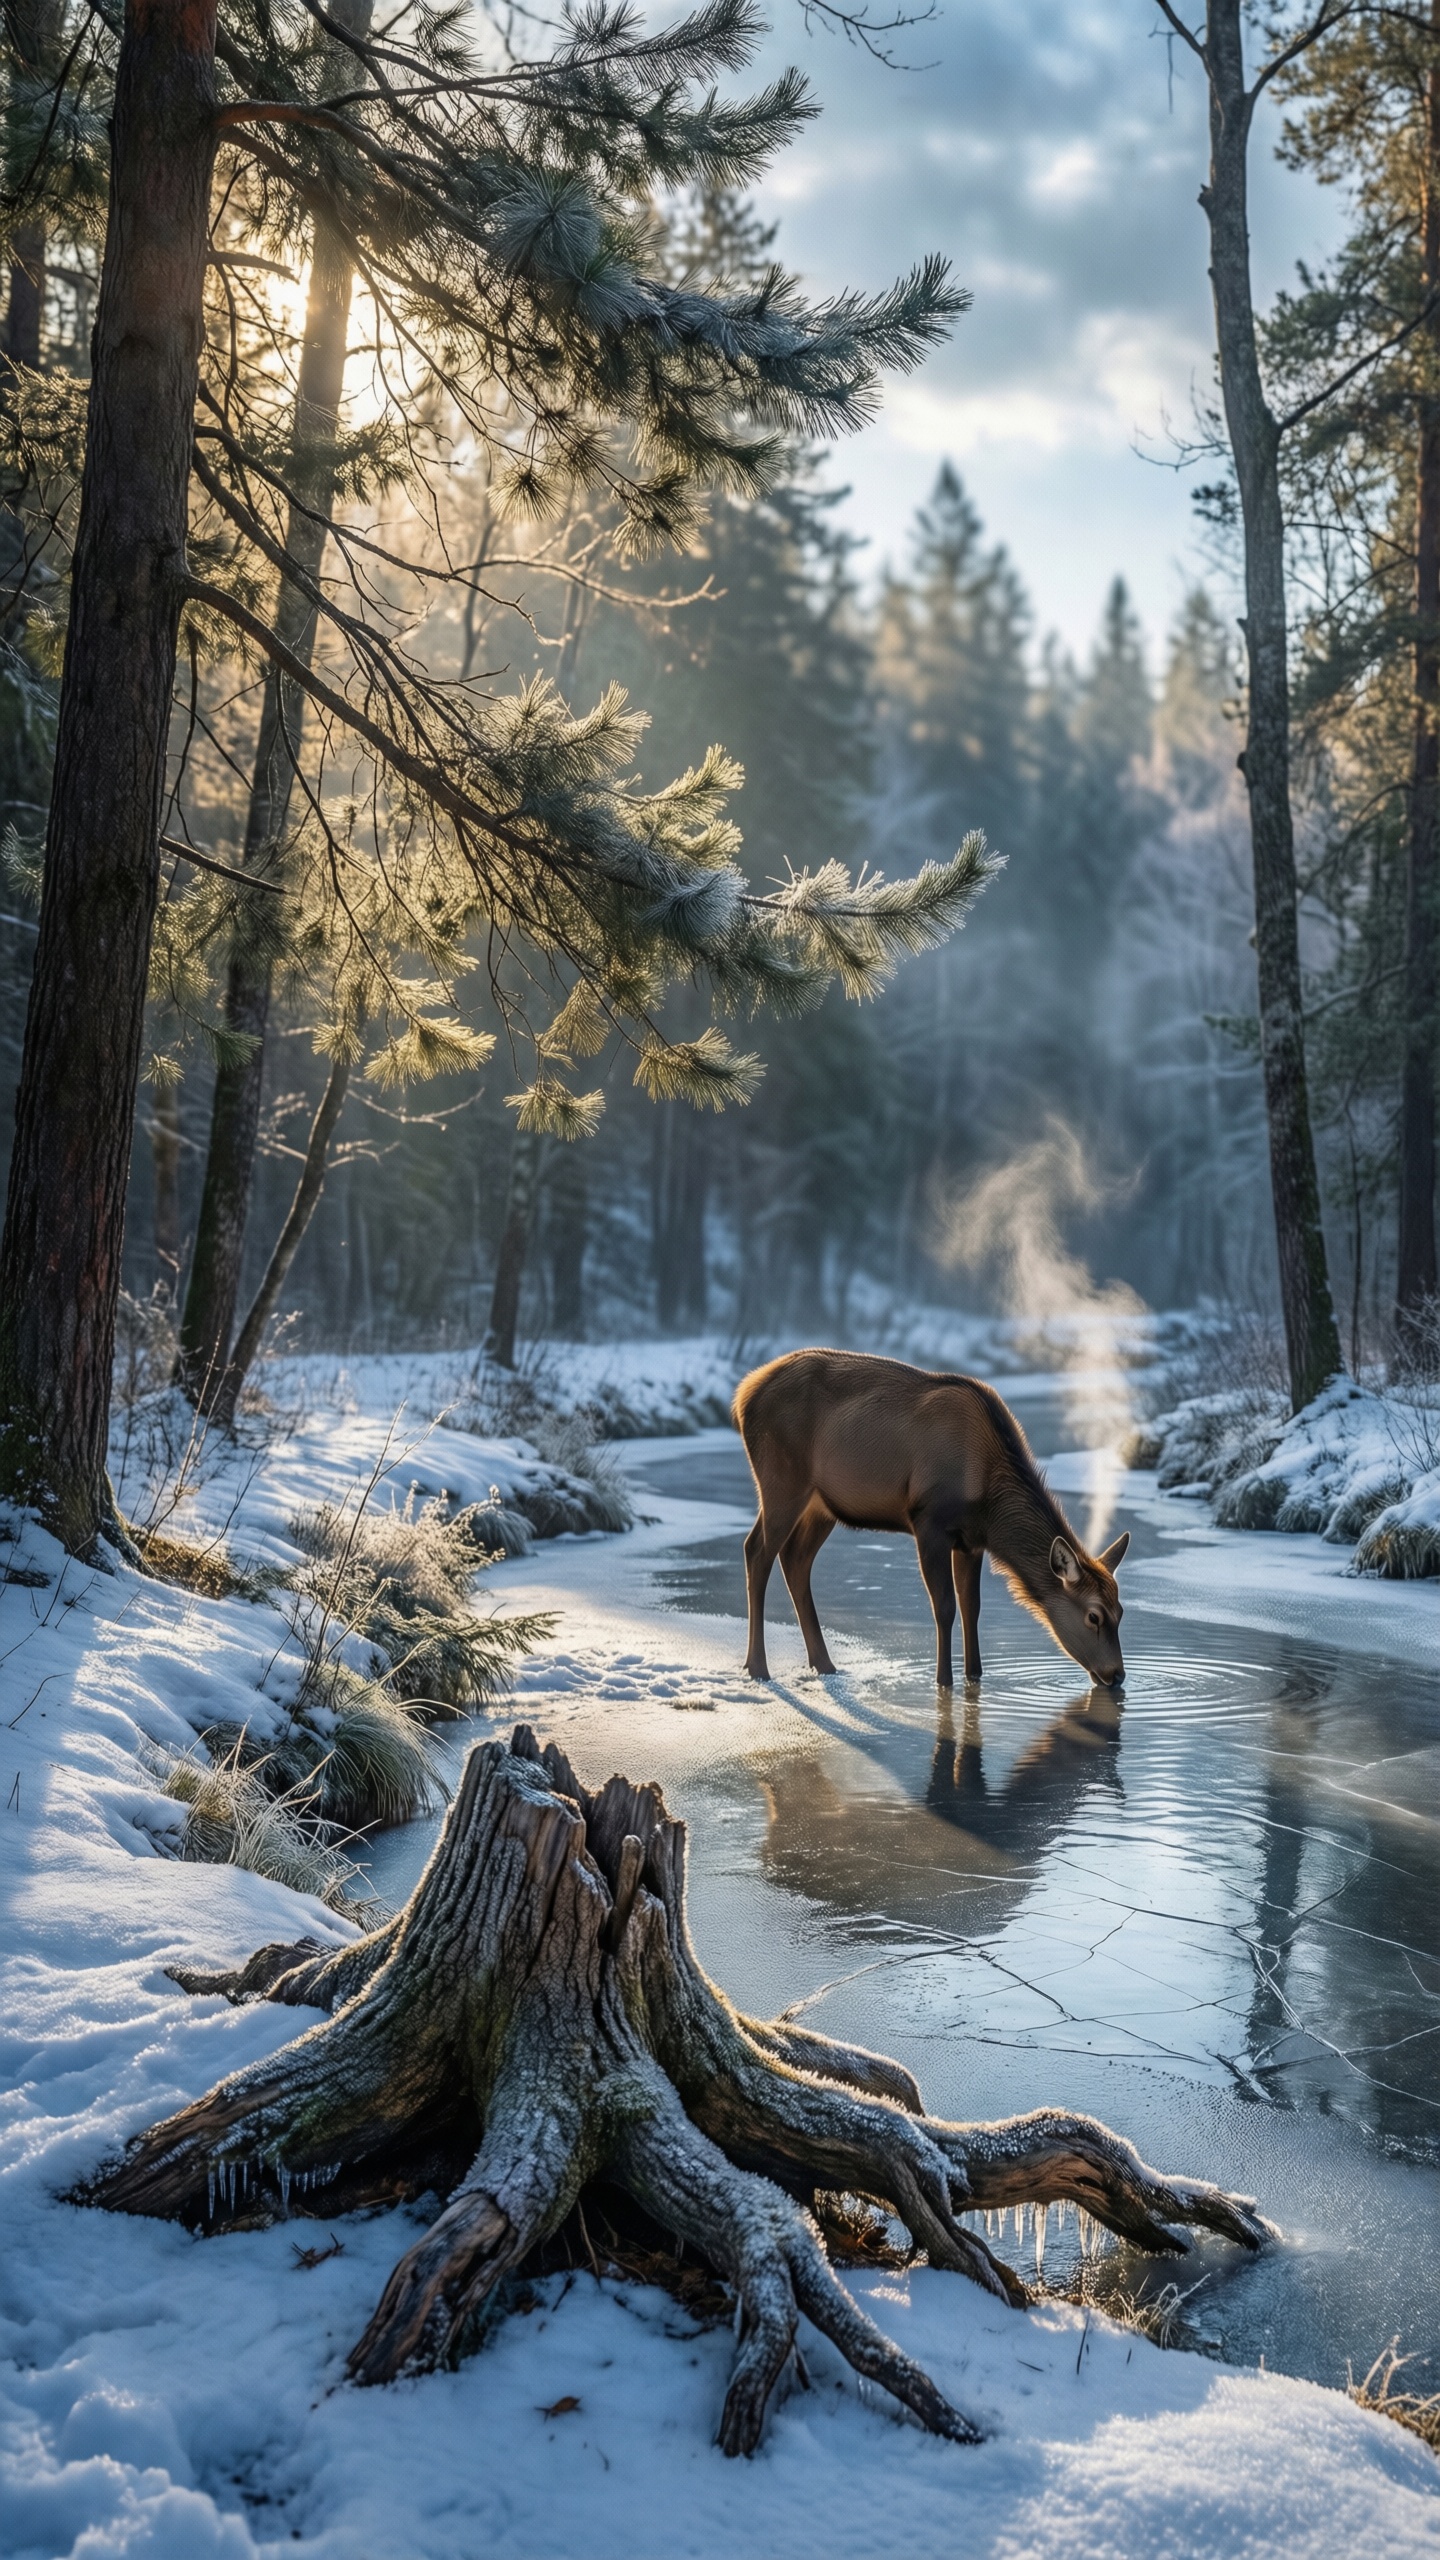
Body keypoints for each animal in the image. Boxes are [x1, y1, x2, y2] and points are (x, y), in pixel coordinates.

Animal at [733, 1347, 1129, 1689]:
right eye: (1094, 1615)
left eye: (1121, 1611)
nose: (1117, 1674)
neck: (990, 1504)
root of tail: (742, 1396)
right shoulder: (929, 1522)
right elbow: (945, 1607)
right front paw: (944, 1682)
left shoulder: (971, 1541)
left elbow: (972, 1608)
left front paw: (975, 1677)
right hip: (781, 1481)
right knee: (757, 1551)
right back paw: (758, 1667)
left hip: (821, 1505)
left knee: (795, 1559)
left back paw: (825, 1664)